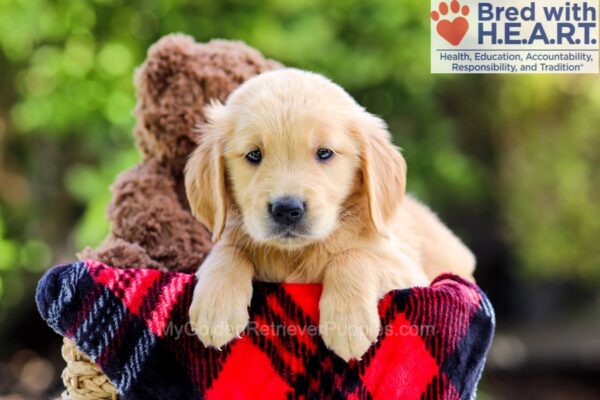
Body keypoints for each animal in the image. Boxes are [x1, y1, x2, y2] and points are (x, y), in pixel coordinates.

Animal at [185, 69, 476, 362]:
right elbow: (228, 251)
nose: (286, 210)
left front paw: (348, 324)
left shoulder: (408, 271)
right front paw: (216, 308)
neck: (295, 254)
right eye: (254, 155)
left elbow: (353, 255)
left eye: (324, 153)